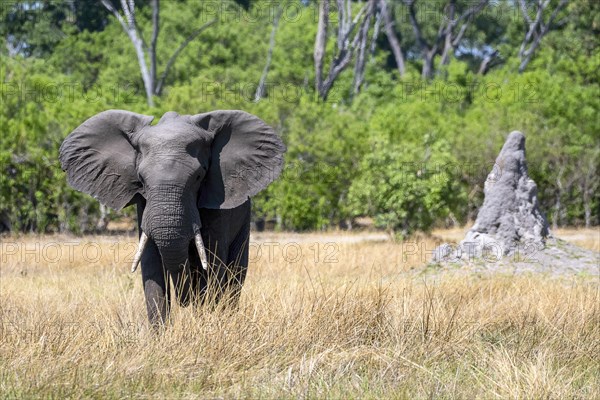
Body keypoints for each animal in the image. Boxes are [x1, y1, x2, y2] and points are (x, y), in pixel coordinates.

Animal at [61, 108, 286, 324]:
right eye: (141, 179)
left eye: (199, 176)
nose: (184, 302)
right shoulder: (145, 205)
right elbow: (151, 266)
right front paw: (161, 334)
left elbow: (212, 265)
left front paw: (204, 326)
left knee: (235, 273)